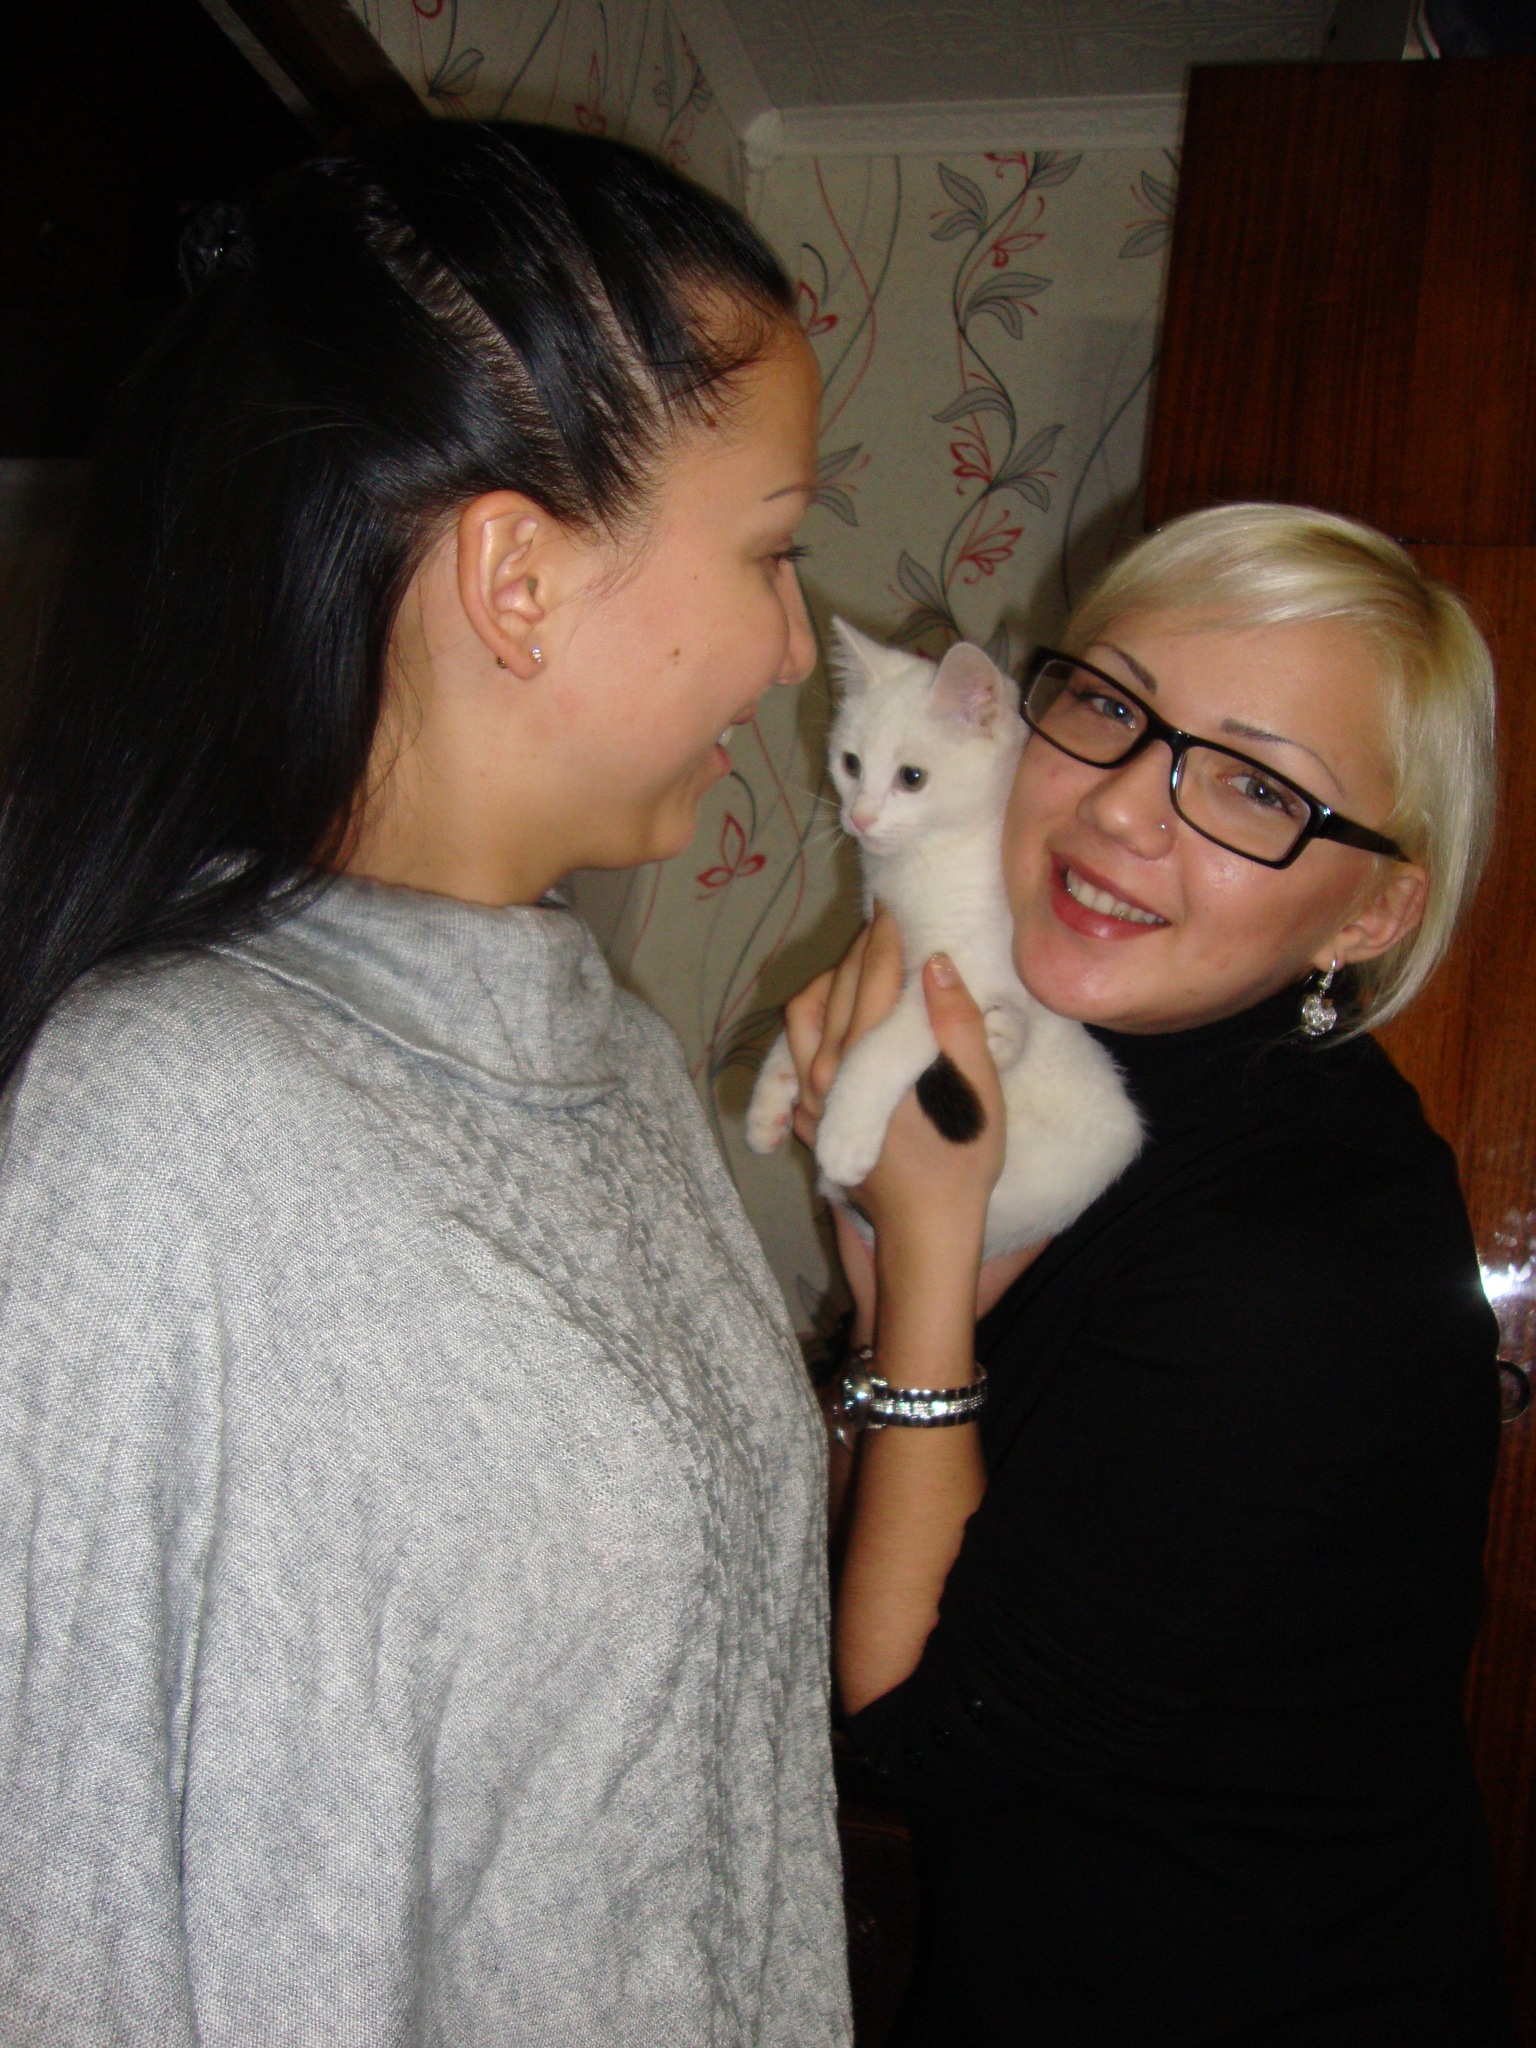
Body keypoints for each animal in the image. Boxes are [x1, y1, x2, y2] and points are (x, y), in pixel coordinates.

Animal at [745, 619, 1143, 1263]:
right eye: (850, 763)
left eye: (912, 778)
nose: (858, 817)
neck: (920, 865)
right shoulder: (870, 933)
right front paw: (770, 1097)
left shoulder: (966, 966)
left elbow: (886, 1043)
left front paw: (844, 1129)